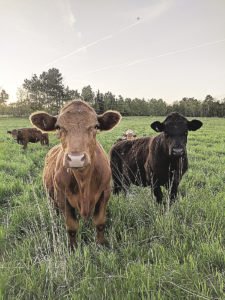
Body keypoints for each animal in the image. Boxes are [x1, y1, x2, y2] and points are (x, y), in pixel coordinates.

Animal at [30, 99, 121, 250]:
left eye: (95, 126)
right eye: (58, 127)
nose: (76, 158)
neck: (83, 181)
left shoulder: (105, 192)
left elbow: (100, 222)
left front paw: (101, 244)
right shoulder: (62, 197)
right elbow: (71, 227)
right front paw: (73, 248)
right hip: (51, 197)